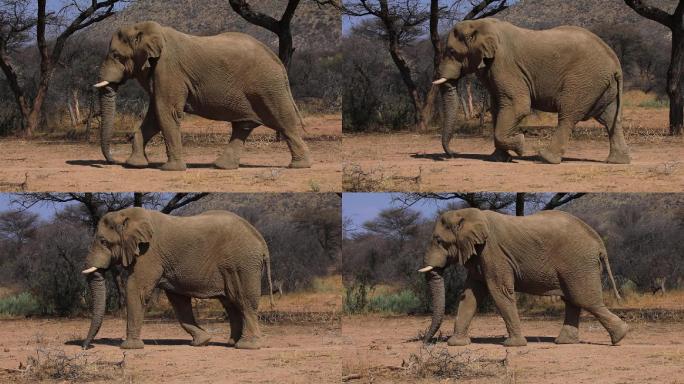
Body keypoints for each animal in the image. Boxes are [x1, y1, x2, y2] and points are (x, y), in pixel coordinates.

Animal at [80, 208, 272, 350]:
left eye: (104, 242)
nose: (85, 347)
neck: (127, 214)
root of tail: (260, 240)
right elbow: (178, 299)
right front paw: (202, 342)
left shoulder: (149, 253)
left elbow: (136, 288)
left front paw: (129, 347)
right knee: (230, 303)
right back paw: (231, 343)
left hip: (243, 264)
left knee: (243, 300)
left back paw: (247, 346)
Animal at [93, 21, 312, 171]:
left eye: (116, 56)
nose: (112, 161)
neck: (147, 29)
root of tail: (279, 62)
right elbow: (155, 114)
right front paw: (135, 165)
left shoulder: (169, 69)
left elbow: (166, 111)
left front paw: (171, 169)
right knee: (243, 126)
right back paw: (222, 167)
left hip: (268, 86)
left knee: (284, 122)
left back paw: (300, 166)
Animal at [414, 208, 628, 346]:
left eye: (439, 241)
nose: (426, 343)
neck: (468, 214)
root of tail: (599, 242)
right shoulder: (479, 256)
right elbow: (471, 295)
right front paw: (456, 344)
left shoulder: (493, 252)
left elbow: (498, 291)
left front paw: (513, 345)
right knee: (573, 301)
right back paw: (565, 342)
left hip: (578, 262)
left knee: (584, 300)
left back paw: (620, 336)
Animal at [432, 18, 632, 164]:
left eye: (451, 52)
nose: (452, 155)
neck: (480, 24)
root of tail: (615, 62)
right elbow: (498, 108)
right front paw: (498, 159)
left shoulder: (504, 64)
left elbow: (517, 106)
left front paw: (520, 145)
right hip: (602, 85)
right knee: (610, 118)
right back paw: (617, 161)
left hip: (584, 80)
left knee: (568, 115)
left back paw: (545, 158)